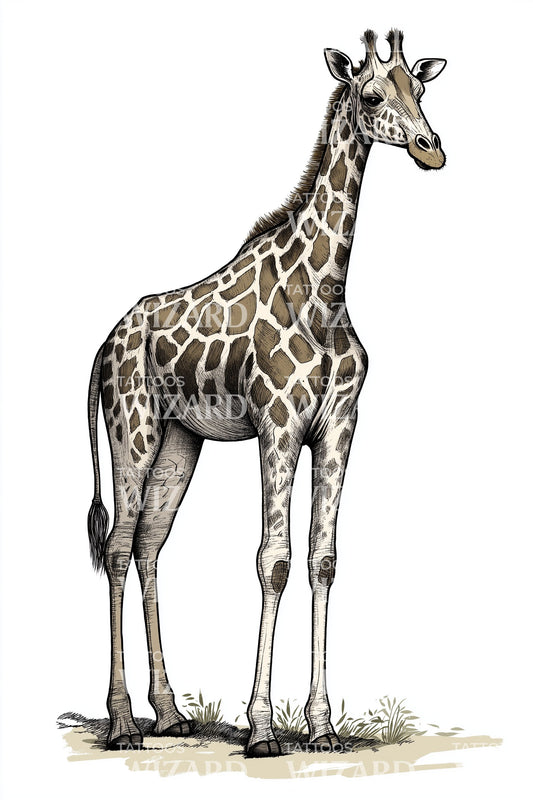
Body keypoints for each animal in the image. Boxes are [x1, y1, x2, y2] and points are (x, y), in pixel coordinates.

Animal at [87, 29, 446, 755]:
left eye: (419, 88)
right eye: (372, 94)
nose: (431, 147)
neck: (326, 292)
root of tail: (104, 345)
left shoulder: (339, 424)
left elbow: (322, 560)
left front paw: (322, 726)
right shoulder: (278, 423)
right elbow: (272, 561)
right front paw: (260, 728)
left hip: (178, 442)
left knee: (147, 547)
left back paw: (169, 712)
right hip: (130, 431)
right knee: (115, 548)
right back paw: (122, 722)